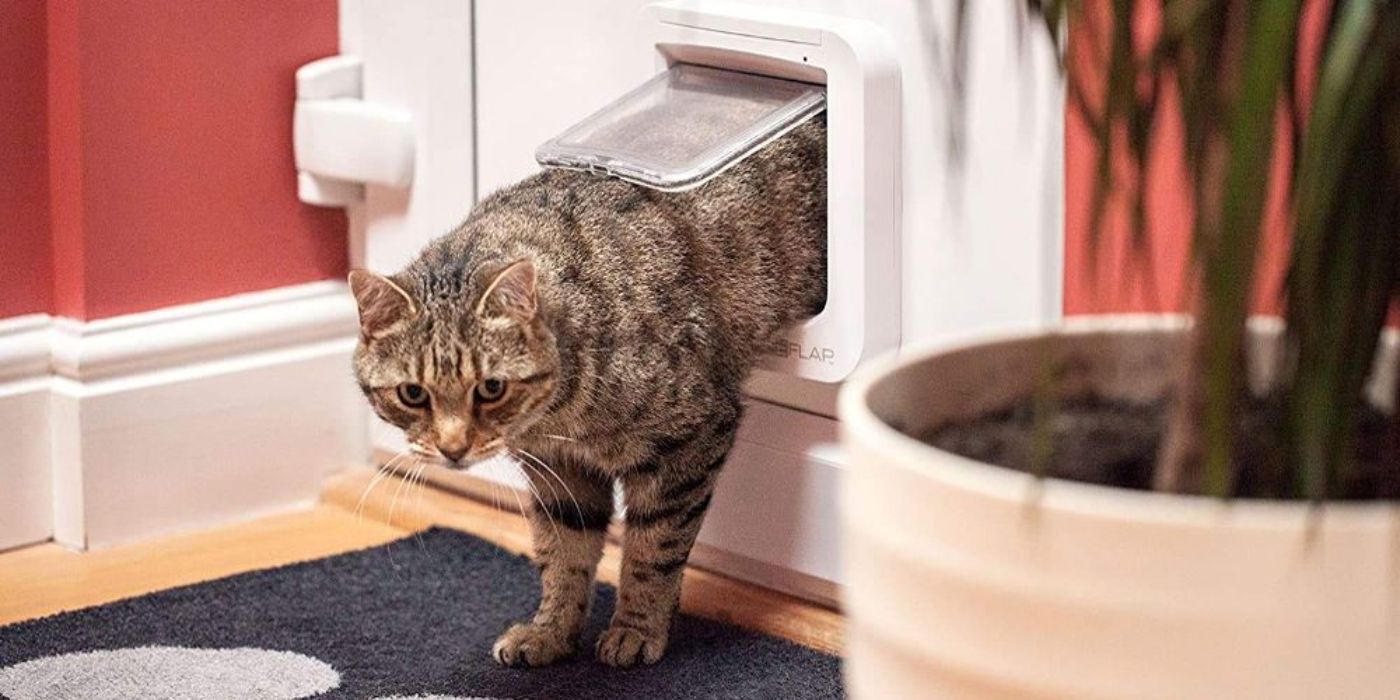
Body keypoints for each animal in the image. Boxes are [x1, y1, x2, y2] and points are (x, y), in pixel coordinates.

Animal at [350, 116, 823, 666]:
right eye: (412, 394)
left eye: (491, 388)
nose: (452, 449)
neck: (557, 416)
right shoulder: (558, 472)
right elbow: (563, 554)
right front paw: (549, 631)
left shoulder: (691, 439)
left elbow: (652, 549)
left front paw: (636, 628)